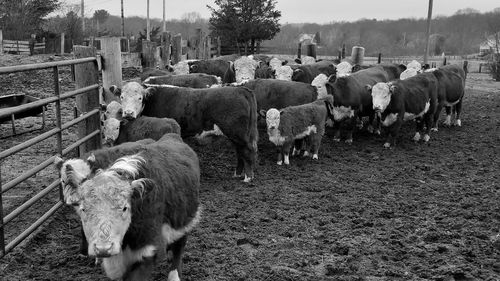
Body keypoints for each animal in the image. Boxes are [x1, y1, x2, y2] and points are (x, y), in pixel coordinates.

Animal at [60, 133, 199, 280]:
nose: (103, 248)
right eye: (83, 209)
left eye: (124, 208)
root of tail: (172, 137)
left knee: (179, 247)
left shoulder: (149, 251)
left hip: (185, 222)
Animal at [112, 81, 258, 182]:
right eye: (122, 97)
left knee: (247, 150)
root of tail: (240, 89)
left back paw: (248, 177)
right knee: (239, 152)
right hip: (236, 135)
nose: (128, 113)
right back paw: (237, 174)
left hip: (238, 133)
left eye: (140, 98)